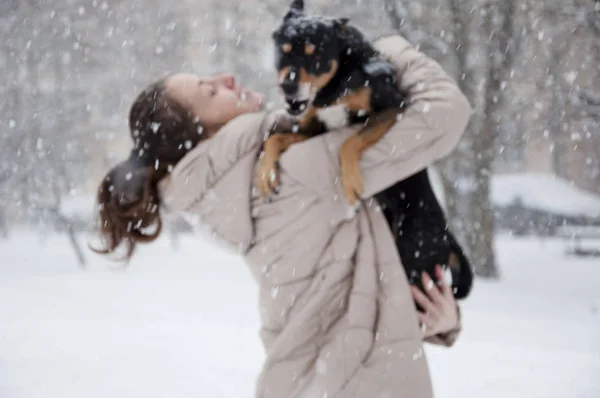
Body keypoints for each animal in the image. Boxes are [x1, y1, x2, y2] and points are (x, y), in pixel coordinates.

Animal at [258, 0, 474, 298]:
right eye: (284, 52)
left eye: (315, 56)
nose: (288, 86)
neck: (335, 84)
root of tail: (446, 236)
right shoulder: (313, 130)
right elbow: (274, 139)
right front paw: (266, 174)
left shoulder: (393, 108)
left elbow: (349, 142)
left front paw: (352, 184)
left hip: (414, 264)